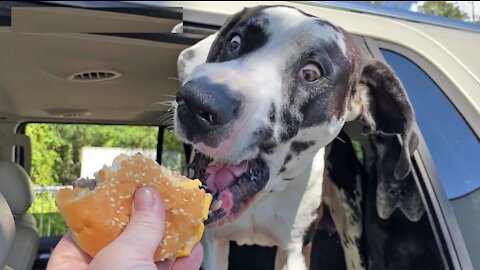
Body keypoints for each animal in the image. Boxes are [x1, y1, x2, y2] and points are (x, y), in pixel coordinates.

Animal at [172, 4, 416, 270]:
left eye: (310, 73)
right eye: (234, 42)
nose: (197, 102)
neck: (265, 196)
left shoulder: (295, 251)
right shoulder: (214, 243)